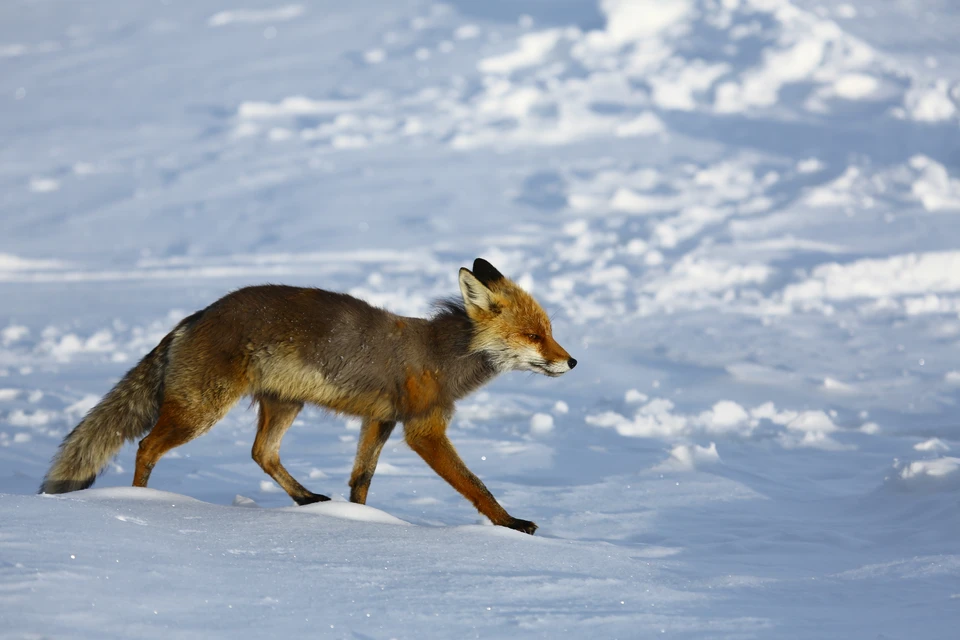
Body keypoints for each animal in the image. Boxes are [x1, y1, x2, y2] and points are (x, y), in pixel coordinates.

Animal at [41, 260, 572, 536]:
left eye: (550, 331)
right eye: (532, 335)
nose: (572, 362)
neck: (442, 356)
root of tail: (196, 315)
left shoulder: (380, 421)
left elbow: (360, 480)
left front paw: (359, 521)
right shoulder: (423, 429)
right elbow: (476, 486)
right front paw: (510, 524)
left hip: (283, 404)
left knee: (262, 452)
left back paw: (306, 500)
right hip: (202, 410)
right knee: (147, 446)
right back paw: (141, 502)